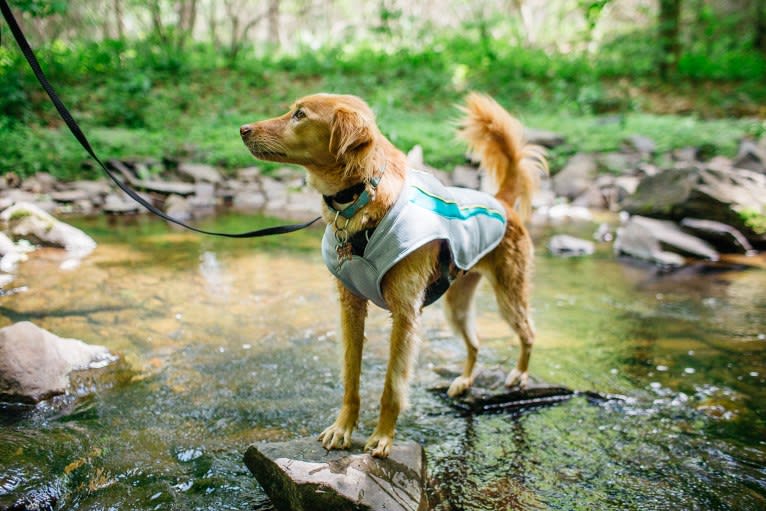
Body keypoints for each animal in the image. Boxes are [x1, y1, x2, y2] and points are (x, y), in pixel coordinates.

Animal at [240, 93, 544, 460]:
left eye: (300, 115)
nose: (242, 129)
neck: (359, 200)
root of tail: (501, 203)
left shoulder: (405, 313)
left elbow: (392, 385)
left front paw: (382, 437)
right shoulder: (350, 306)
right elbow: (351, 377)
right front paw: (343, 429)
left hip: (509, 293)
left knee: (528, 332)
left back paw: (519, 375)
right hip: (457, 304)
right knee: (475, 342)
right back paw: (464, 381)